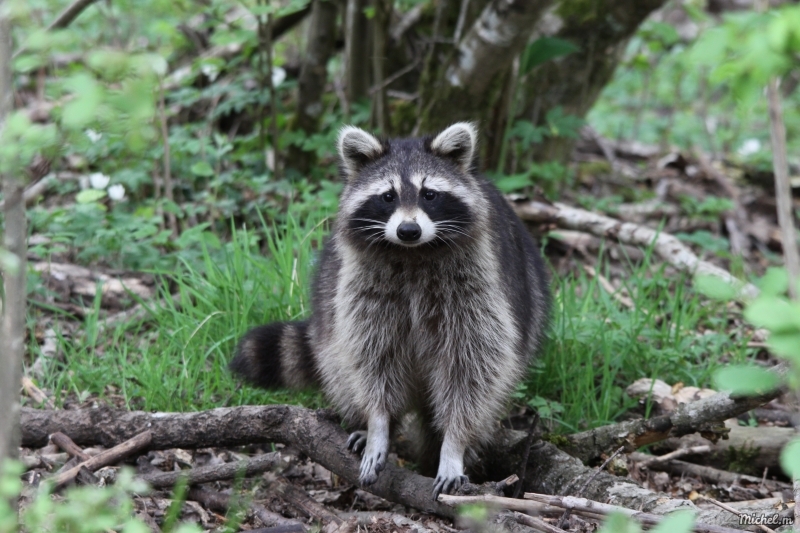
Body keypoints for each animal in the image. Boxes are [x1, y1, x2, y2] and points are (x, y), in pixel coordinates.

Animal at [231, 122, 552, 496]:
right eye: (388, 196)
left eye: (430, 194)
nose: (408, 230)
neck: (412, 254)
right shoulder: (363, 288)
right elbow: (373, 359)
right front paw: (379, 423)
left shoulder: (477, 288)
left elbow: (473, 368)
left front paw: (454, 444)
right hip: (330, 309)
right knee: (339, 363)